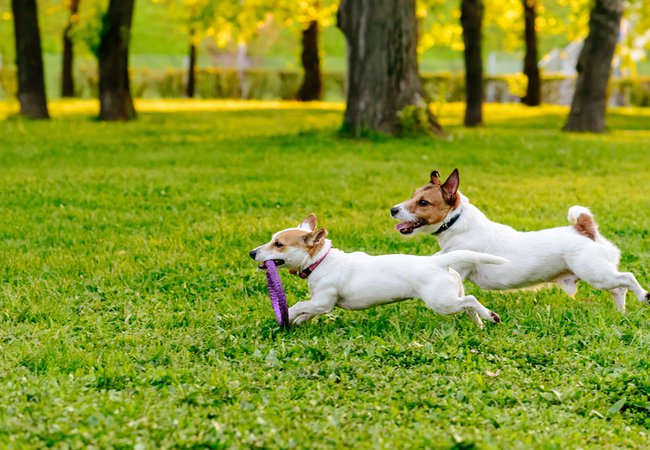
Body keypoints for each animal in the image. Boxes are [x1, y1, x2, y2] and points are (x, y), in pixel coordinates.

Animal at [248, 214, 506, 326]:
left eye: (278, 244)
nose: (252, 253)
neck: (321, 260)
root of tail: (438, 262)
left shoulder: (323, 301)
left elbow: (301, 305)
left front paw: (288, 315)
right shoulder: (319, 304)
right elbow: (307, 311)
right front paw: (298, 322)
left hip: (441, 302)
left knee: (471, 301)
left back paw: (490, 316)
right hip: (451, 296)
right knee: (468, 304)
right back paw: (480, 323)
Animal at [390, 167, 648, 312]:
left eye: (423, 202)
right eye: (413, 195)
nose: (393, 210)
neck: (457, 222)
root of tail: (584, 229)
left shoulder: (460, 267)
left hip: (596, 273)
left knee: (627, 278)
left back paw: (643, 296)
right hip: (601, 276)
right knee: (619, 289)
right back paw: (620, 312)